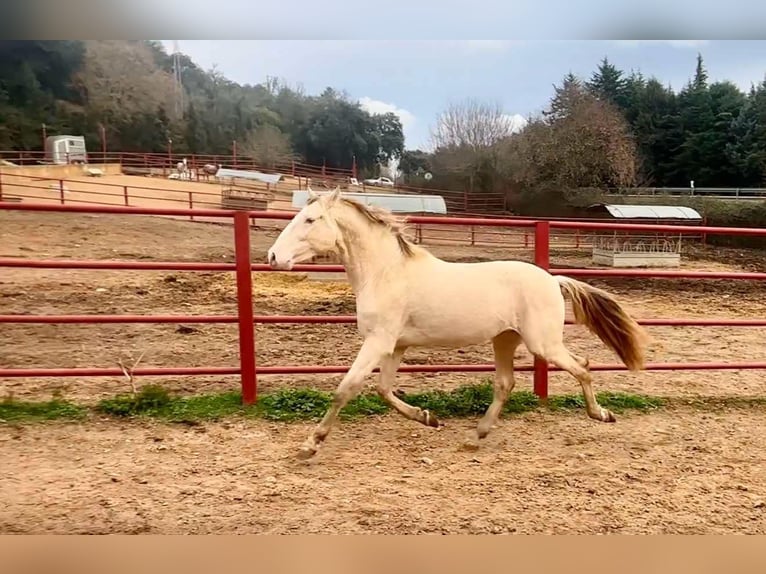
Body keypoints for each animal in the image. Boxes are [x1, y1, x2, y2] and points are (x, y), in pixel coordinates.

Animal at [266, 190, 648, 464]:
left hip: (543, 344)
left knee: (582, 366)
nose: (272, 257)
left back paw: (601, 414)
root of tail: (554, 279)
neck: (386, 273)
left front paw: (310, 445)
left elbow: (345, 389)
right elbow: (384, 390)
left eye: (310, 219)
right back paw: (475, 436)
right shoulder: (396, 345)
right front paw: (428, 418)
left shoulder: (378, 342)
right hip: (505, 339)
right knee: (505, 385)